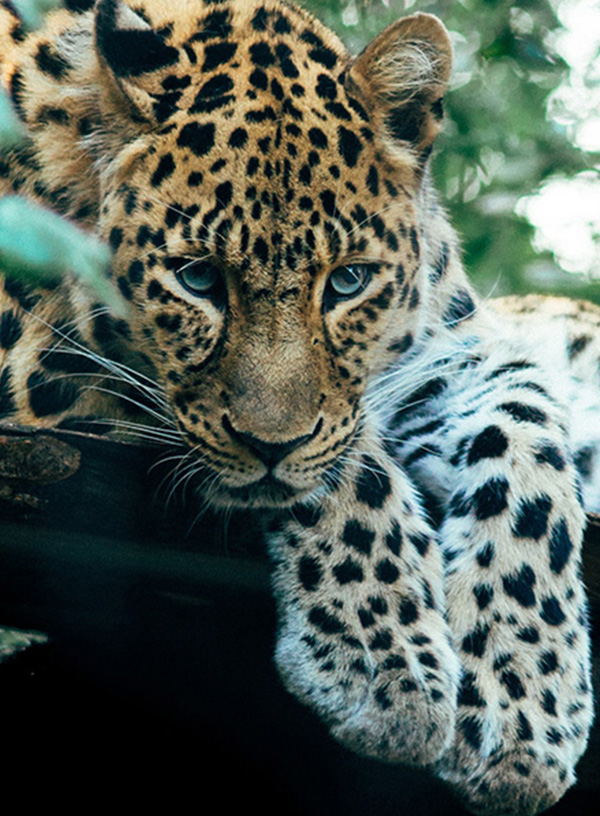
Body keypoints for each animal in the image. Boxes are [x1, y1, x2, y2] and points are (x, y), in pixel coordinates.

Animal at [0, 1, 597, 814]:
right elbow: (352, 464)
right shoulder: (41, 364)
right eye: (197, 278)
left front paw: (523, 702)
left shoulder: (445, 356)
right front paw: (387, 669)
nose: (270, 447)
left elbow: (529, 432)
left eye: (348, 282)